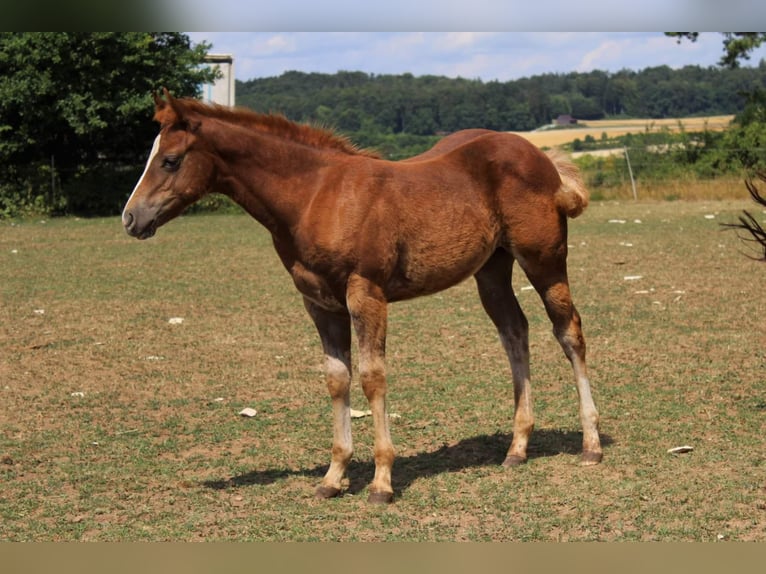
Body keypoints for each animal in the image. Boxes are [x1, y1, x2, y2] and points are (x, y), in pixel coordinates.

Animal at [122, 90, 603, 503]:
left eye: (170, 160)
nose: (130, 218)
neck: (316, 196)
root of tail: (542, 157)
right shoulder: (319, 303)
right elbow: (337, 378)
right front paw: (333, 478)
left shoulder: (366, 293)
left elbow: (372, 376)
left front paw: (382, 482)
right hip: (492, 270)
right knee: (515, 332)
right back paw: (517, 447)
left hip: (544, 260)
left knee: (569, 332)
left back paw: (591, 443)